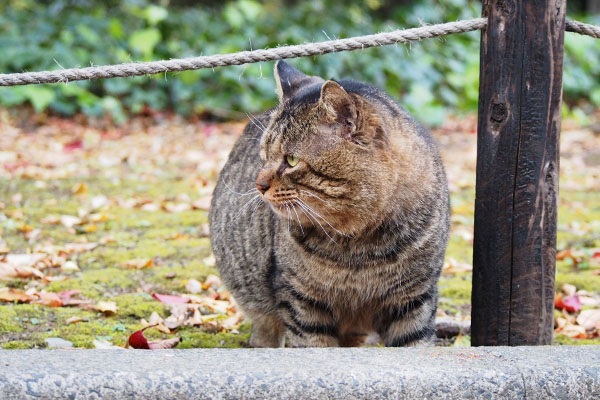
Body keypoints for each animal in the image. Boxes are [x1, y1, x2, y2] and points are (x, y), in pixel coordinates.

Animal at [211, 61, 450, 348]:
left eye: (291, 160)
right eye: (264, 156)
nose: (259, 185)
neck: (359, 249)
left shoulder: (415, 299)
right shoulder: (302, 301)